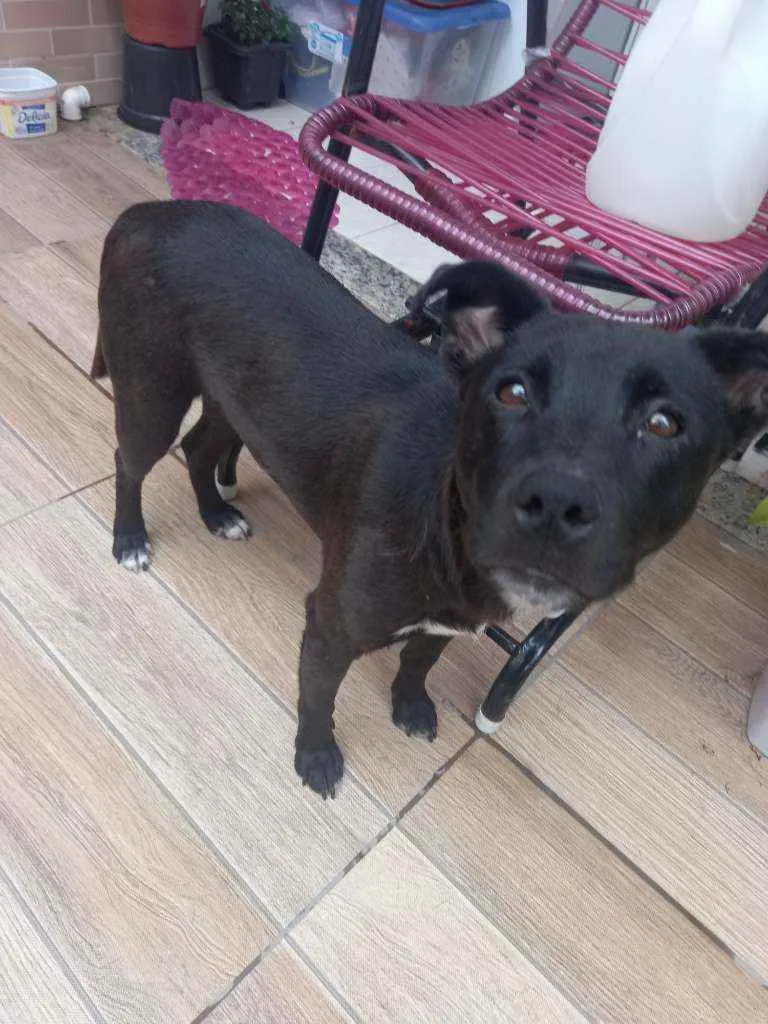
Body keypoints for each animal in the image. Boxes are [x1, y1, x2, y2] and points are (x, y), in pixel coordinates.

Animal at [94, 200, 768, 798]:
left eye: (665, 425)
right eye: (512, 392)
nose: (555, 503)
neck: (443, 516)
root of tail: (147, 212)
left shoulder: (451, 621)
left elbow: (419, 660)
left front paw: (410, 706)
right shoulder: (330, 625)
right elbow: (318, 697)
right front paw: (316, 757)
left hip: (231, 401)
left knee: (200, 449)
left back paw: (215, 514)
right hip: (153, 393)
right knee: (130, 463)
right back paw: (130, 540)